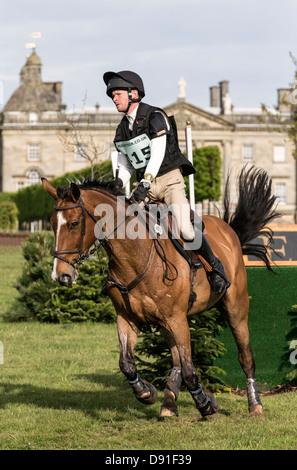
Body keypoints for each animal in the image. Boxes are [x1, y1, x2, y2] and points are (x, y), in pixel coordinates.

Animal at [41, 165, 278, 418]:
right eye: (52, 225)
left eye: (74, 224)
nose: (61, 276)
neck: (135, 255)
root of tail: (228, 230)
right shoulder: (128, 318)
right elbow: (127, 364)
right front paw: (147, 392)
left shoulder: (178, 319)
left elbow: (190, 370)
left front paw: (205, 403)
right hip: (165, 324)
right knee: (175, 362)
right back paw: (168, 404)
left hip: (235, 309)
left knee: (245, 357)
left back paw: (255, 404)